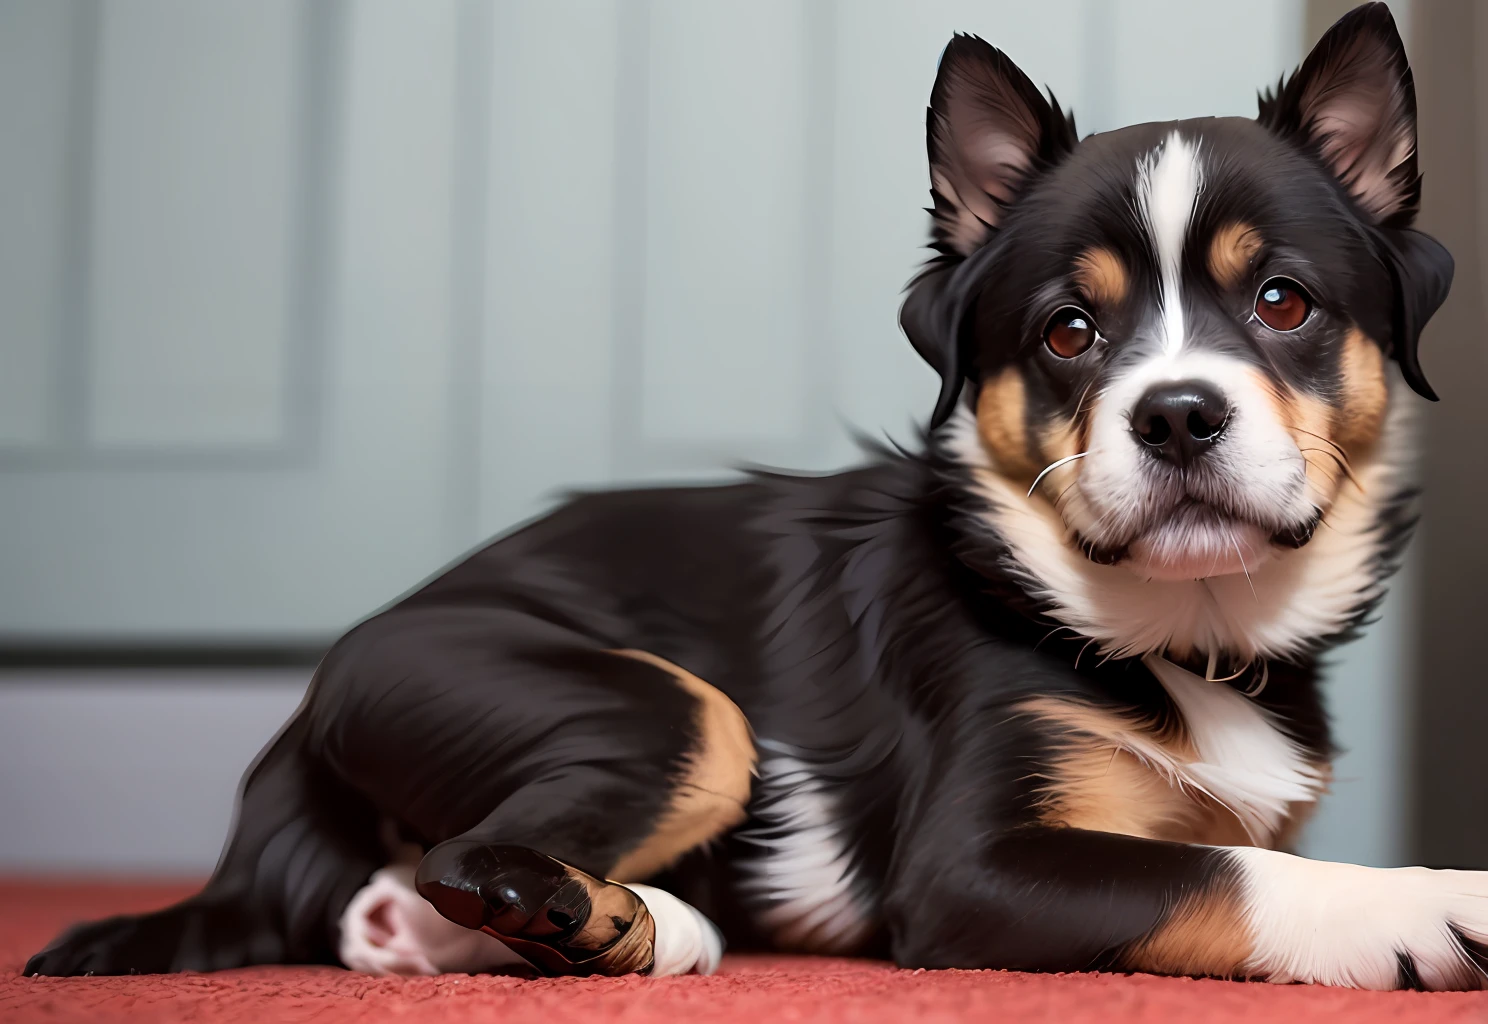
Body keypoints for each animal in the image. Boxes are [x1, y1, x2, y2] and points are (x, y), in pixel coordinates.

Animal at [26, 2, 1476, 994]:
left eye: (1283, 303)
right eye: (1069, 332)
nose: (1176, 413)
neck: (1182, 632)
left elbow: (1232, 842)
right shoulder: (967, 872)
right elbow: (1231, 869)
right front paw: (1431, 904)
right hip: (666, 709)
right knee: (467, 858)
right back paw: (619, 920)